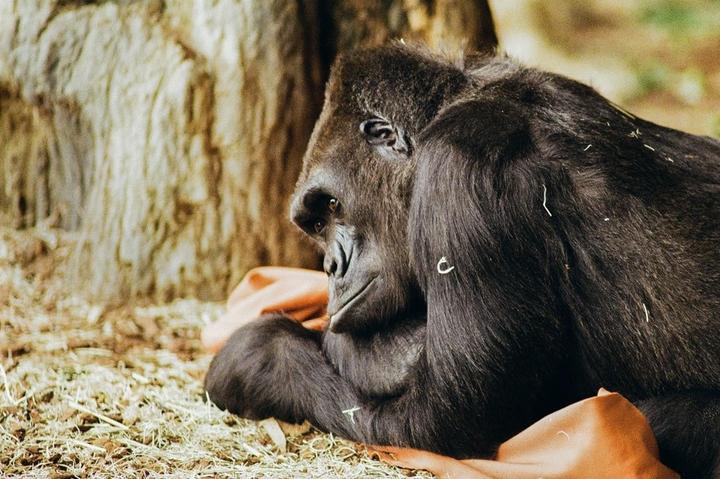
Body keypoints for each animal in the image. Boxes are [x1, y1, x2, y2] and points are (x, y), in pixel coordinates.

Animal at [205, 43, 720, 478]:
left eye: (330, 206)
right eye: (314, 224)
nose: (332, 268)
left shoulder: (457, 172)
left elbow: (446, 422)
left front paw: (262, 357)